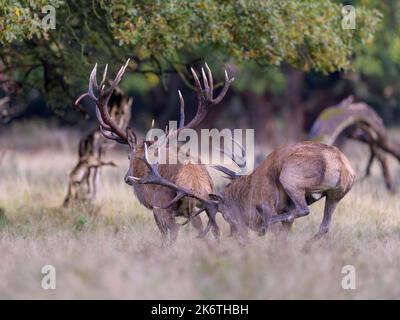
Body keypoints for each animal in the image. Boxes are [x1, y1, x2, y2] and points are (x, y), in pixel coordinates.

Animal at [77, 58, 234, 242]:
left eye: (129, 156)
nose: (128, 179)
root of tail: (194, 185)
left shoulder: (155, 206)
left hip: (163, 205)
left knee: (175, 230)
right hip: (206, 204)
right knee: (213, 229)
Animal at [131, 141, 356, 244]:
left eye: (226, 215)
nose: (238, 235)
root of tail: (342, 167)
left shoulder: (268, 202)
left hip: (290, 176)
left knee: (302, 210)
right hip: (336, 195)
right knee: (324, 225)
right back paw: (306, 246)